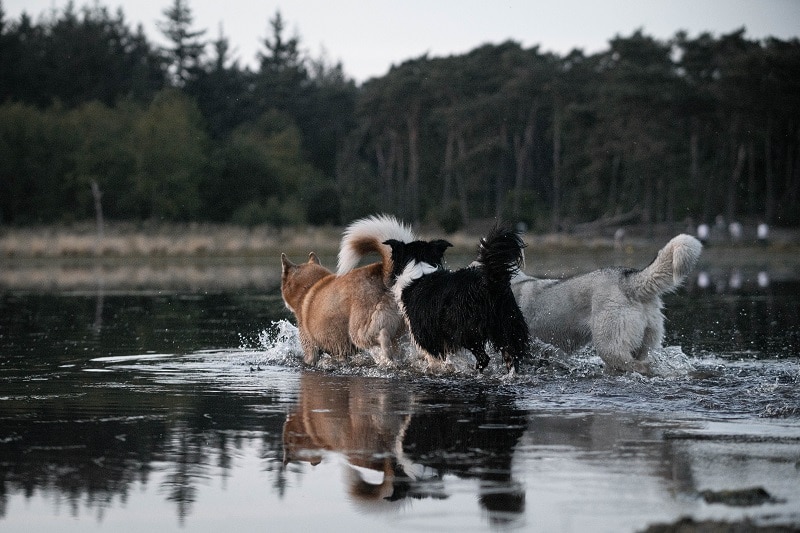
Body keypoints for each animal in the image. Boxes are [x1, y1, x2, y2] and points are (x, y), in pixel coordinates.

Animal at [282, 213, 416, 366]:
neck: (308, 286)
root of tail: (383, 273)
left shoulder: (310, 348)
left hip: (358, 331)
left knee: (380, 336)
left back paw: (387, 354)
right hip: (406, 330)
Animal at [382, 227, 528, 372]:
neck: (419, 266)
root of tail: (489, 282)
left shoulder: (427, 336)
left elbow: (434, 359)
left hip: (466, 330)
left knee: (484, 358)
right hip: (509, 326)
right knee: (511, 356)